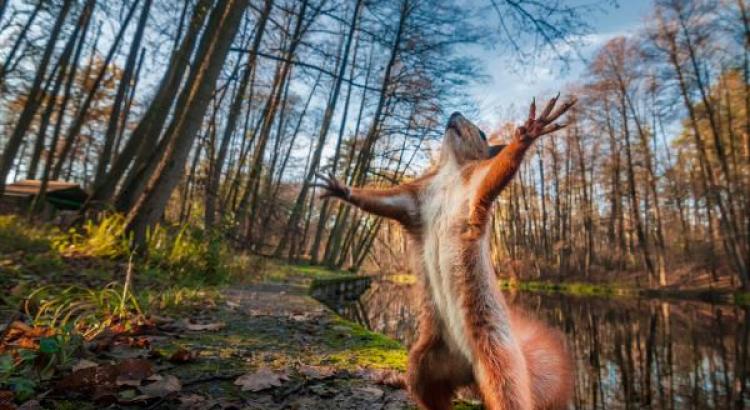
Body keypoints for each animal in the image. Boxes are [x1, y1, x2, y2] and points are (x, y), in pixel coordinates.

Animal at [316, 94, 576, 408]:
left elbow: (498, 172)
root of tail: (470, 369)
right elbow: (382, 202)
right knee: (429, 392)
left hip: (502, 366)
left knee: (507, 396)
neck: (450, 172)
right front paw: (341, 189)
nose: (454, 113)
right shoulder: (414, 200)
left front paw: (528, 133)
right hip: (426, 361)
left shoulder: (476, 186)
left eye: (482, 133)